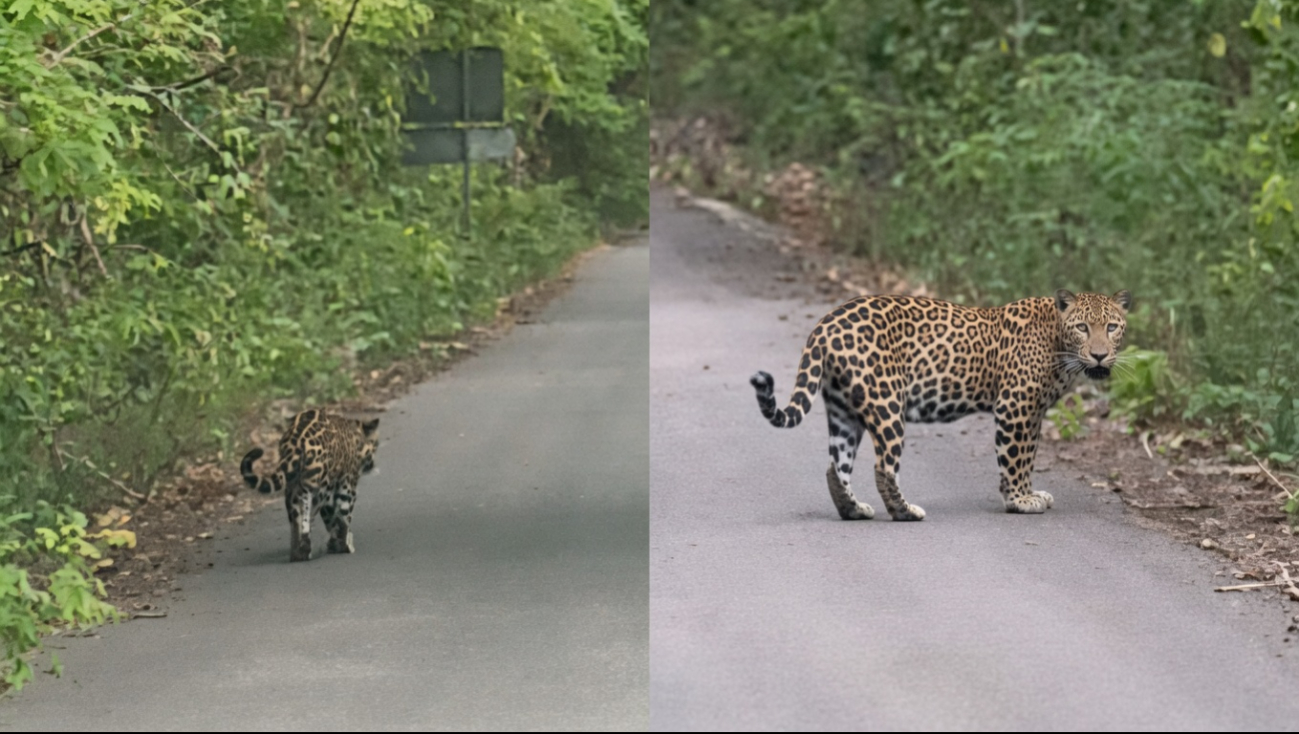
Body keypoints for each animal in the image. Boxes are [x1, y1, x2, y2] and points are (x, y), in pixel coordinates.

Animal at [240, 410, 380, 562]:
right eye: (376, 444)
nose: (373, 464)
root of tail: (295, 442)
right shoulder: (347, 486)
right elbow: (344, 518)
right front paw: (345, 545)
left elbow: (331, 520)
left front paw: (334, 543)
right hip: (319, 489)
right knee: (308, 519)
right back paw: (305, 551)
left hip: (293, 490)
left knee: (296, 522)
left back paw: (296, 554)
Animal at [750, 289, 1131, 521]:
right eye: (1082, 327)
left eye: (1112, 327)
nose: (1100, 355)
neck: (1059, 344)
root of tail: (825, 324)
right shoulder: (1016, 406)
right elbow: (1014, 458)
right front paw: (1019, 500)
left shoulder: (1034, 413)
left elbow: (1028, 457)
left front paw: (1028, 493)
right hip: (887, 401)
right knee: (883, 467)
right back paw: (906, 512)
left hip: (844, 411)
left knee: (836, 466)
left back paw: (854, 510)